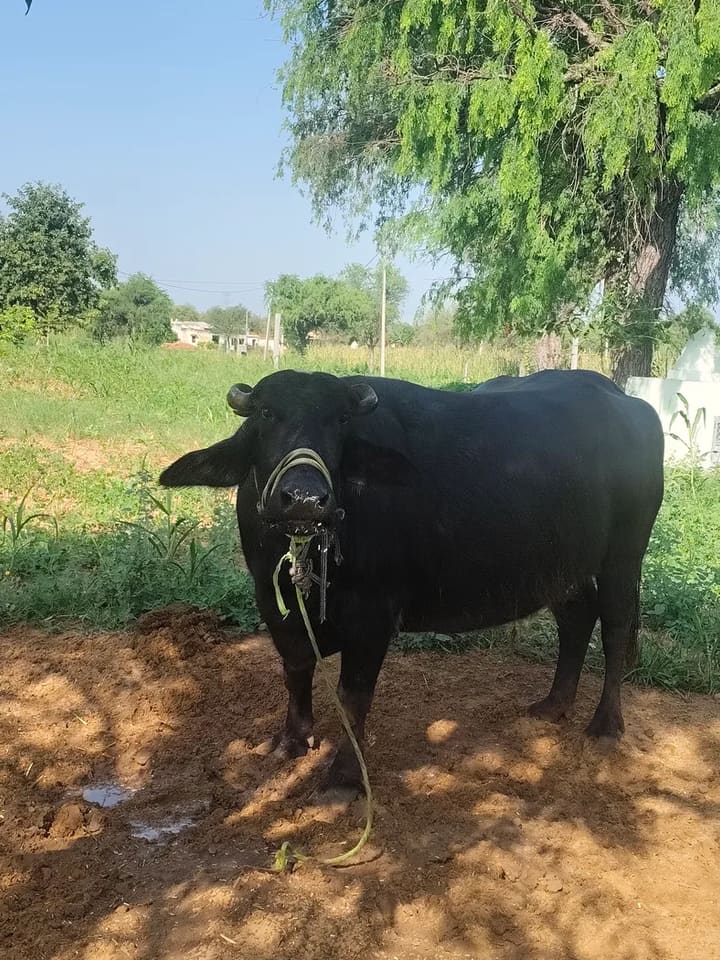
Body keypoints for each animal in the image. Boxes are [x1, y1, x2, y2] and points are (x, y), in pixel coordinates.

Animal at [160, 369, 664, 797]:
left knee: (615, 627)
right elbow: (295, 669)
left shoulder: (373, 616)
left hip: (625, 556)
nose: (304, 498)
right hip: (563, 565)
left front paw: (344, 779)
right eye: (267, 415)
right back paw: (554, 704)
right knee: (577, 621)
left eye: (340, 420)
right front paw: (291, 741)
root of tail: (632, 407)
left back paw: (606, 724)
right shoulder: (271, 601)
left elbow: (353, 696)